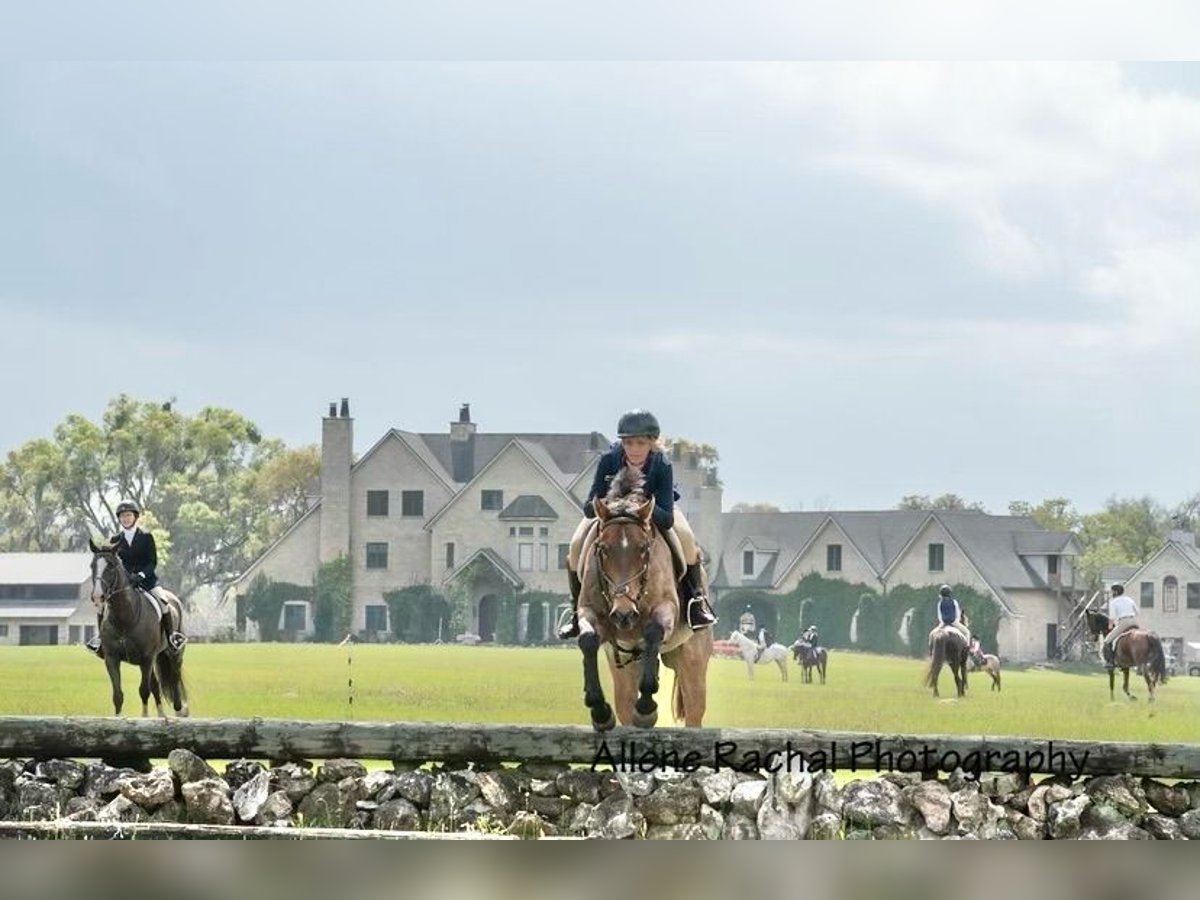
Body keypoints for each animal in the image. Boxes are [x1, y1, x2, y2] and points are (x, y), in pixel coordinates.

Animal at [88, 535, 189, 720]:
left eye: (111, 566)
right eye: (92, 566)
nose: (98, 596)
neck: (124, 618)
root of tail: (174, 599)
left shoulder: (146, 659)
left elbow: (144, 690)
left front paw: (144, 718)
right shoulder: (112, 658)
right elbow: (118, 695)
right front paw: (118, 718)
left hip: (174, 652)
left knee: (174, 676)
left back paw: (179, 710)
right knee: (156, 685)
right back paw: (161, 715)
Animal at [573, 468, 710, 729]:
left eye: (644, 548)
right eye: (603, 549)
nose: (623, 615)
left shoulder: (666, 608)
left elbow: (653, 631)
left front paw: (646, 709)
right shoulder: (590, 612)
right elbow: (587, 640)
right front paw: (599, 711)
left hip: (692, 659)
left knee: (694, 711)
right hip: (624, 667)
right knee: (626, 704)